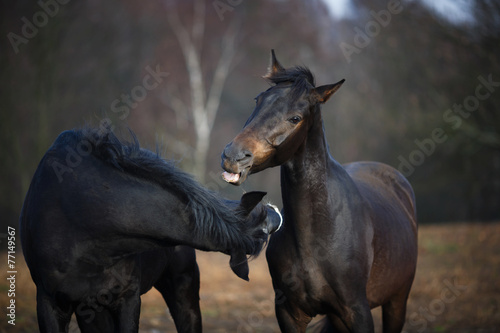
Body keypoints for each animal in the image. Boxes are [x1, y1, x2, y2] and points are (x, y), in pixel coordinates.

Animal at [220, 50, 418, 330]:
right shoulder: (289, 313)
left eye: (295, 118)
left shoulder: (359, 312)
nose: (233, 156)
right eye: (258, 100)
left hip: (397, 302)